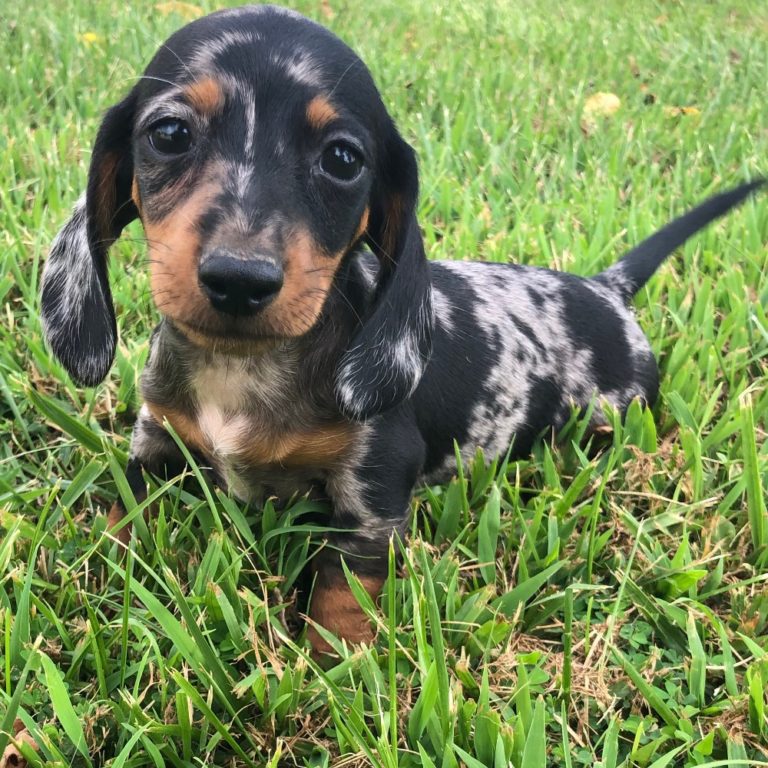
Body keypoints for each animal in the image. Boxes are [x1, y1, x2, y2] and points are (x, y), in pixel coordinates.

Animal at [42, 4, 760, 656]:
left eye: (342, 158)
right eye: (169, 133)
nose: (240, 279)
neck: (243, 367)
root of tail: (606, 290)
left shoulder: (376, 485)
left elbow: (342, 591)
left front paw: (334, 670)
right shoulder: (157, 445)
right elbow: (121, 517)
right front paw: (99, 579)